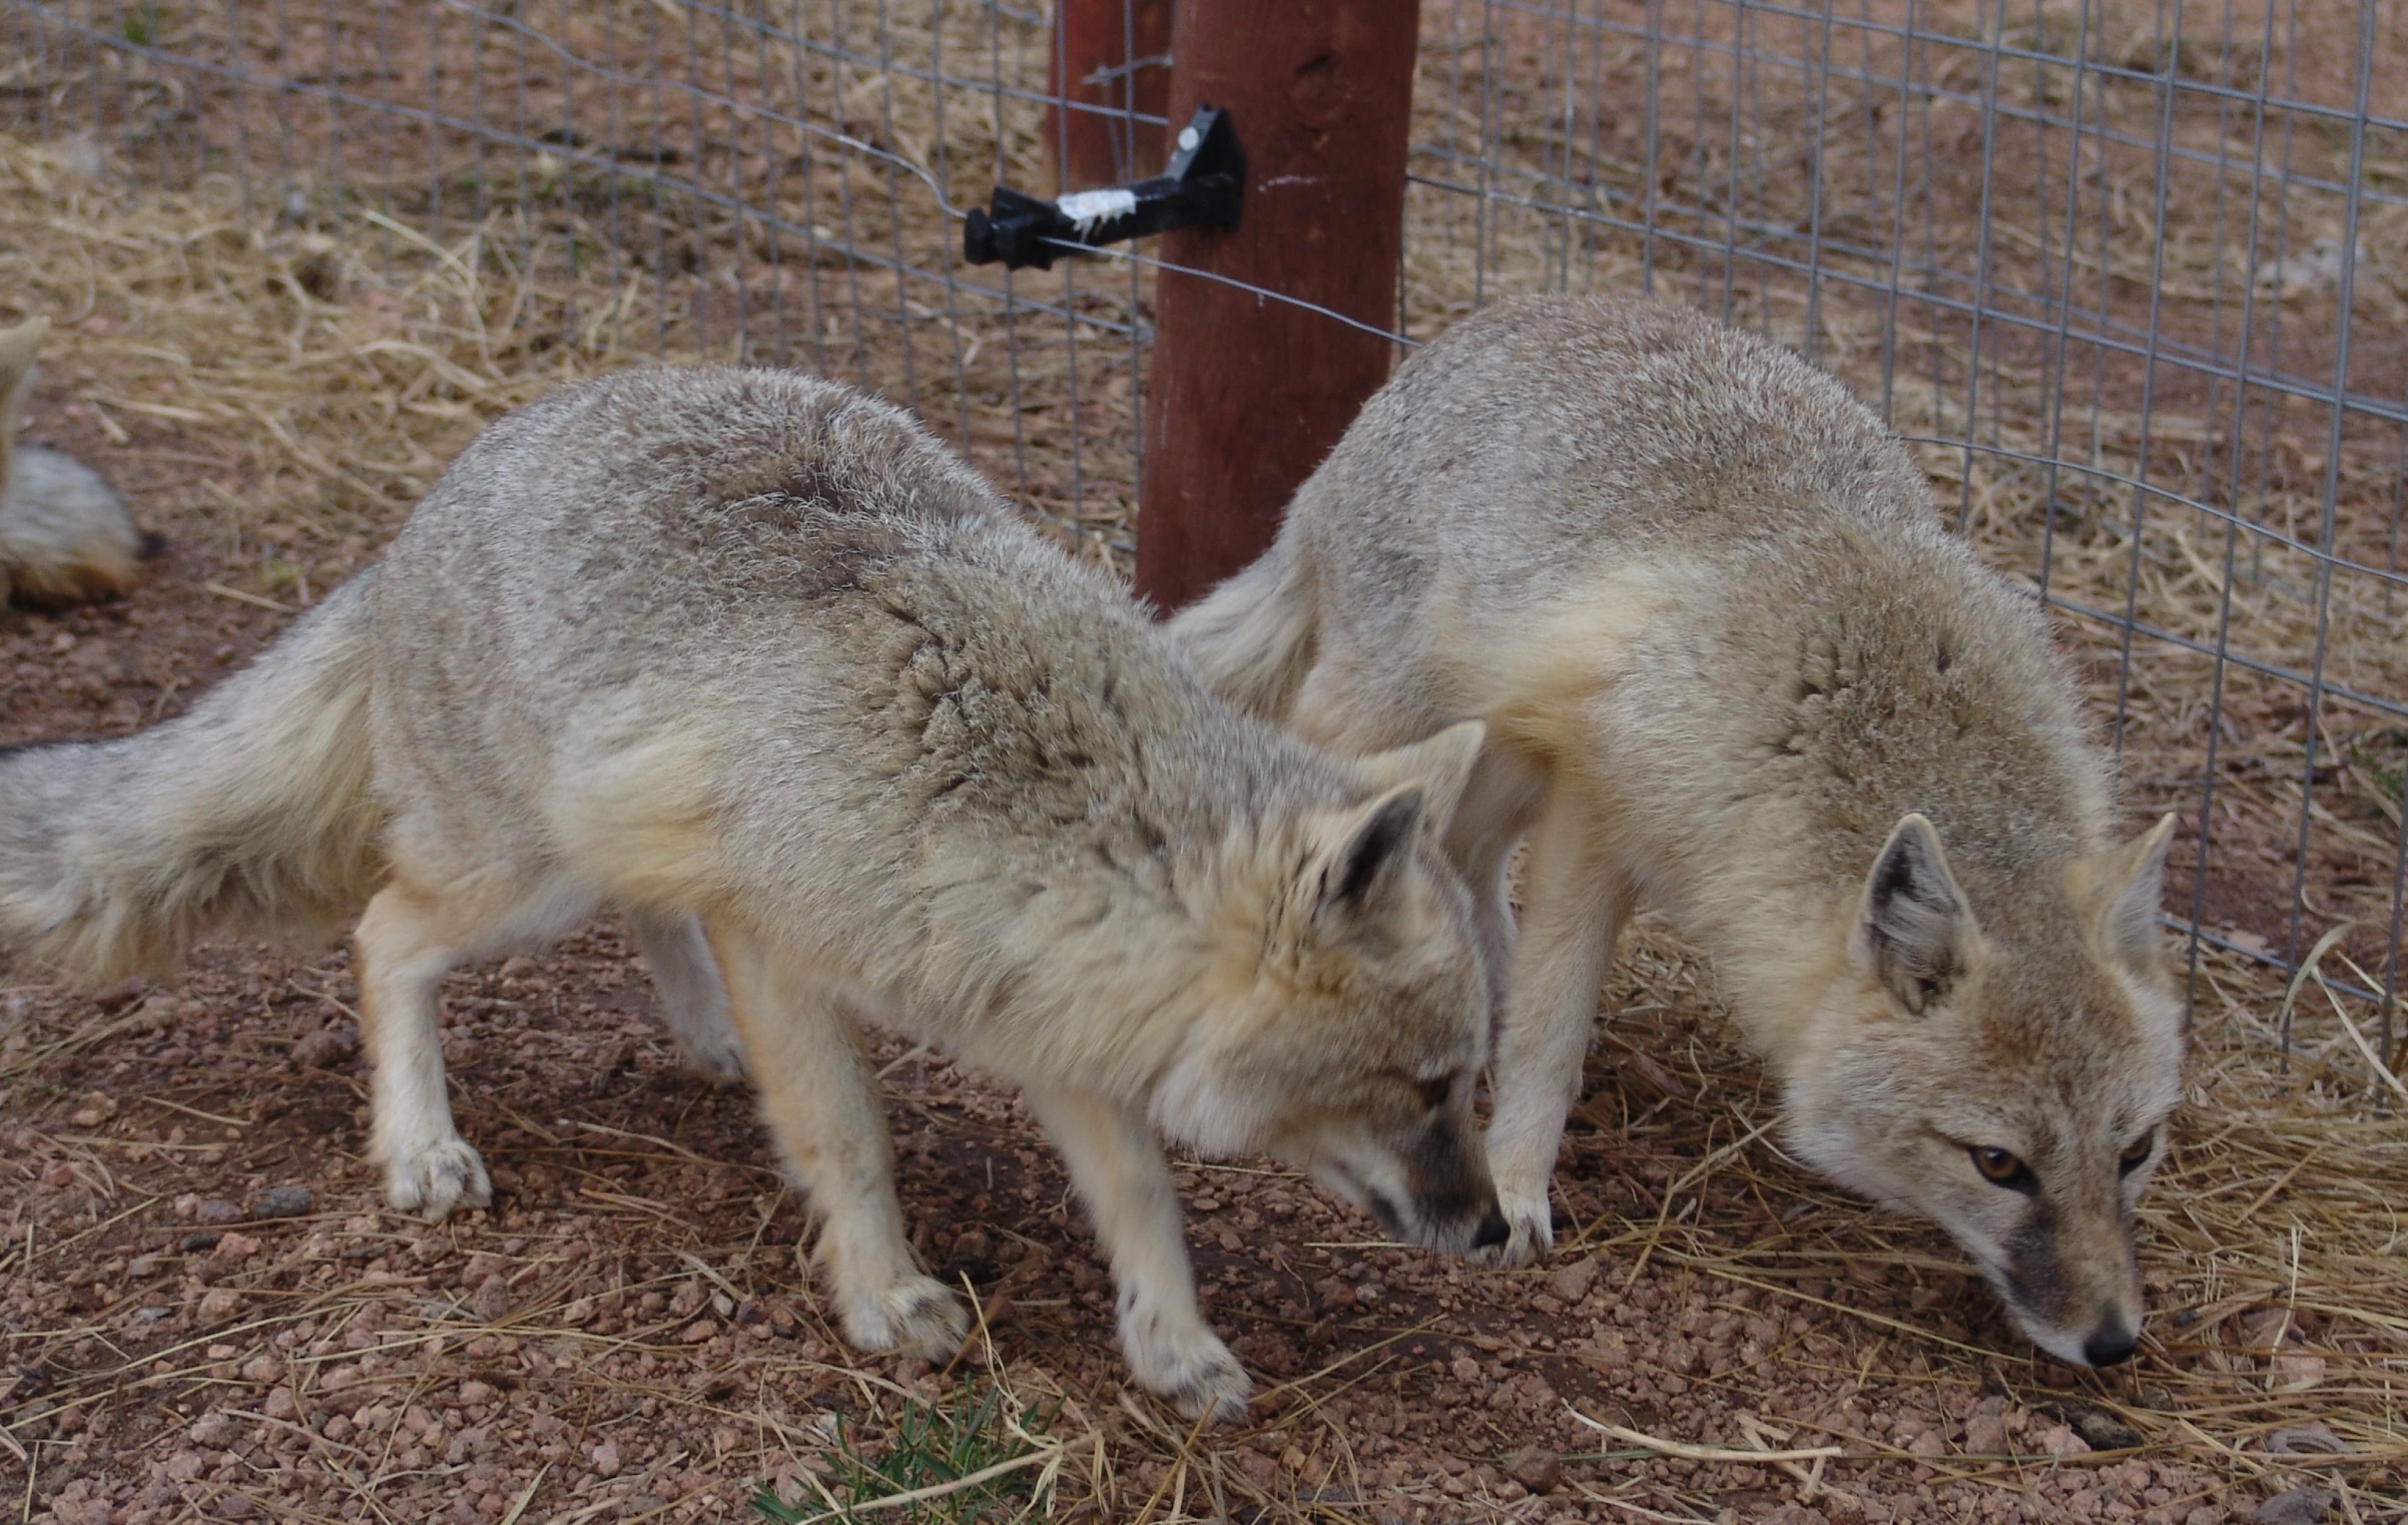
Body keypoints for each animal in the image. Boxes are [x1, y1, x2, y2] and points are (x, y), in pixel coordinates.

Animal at [0, 365, 1503, 1416]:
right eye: (1430, 1088)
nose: (1497, 1229)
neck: (1022, 788)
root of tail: (427, 505)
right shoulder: (790, 946)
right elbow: (849, 1135)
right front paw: (885, 1291)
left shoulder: (1038, 999)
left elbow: (1142, 1191)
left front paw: (1172, 1341)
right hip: (522, 877)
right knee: (385, 934)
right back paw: (421, 1143)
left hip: (606, 839)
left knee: (639, 907)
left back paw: (700, 1040)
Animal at [1175, 287, 2195, 1368]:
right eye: (1999, 1163)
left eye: (2136, 1151)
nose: (2113, 1341)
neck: (1884, 701)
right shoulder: (1598, 809)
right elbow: (1550, 1029)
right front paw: (1519, 1184)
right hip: (1400, 721)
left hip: (1498, 759)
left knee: (1468, 863)